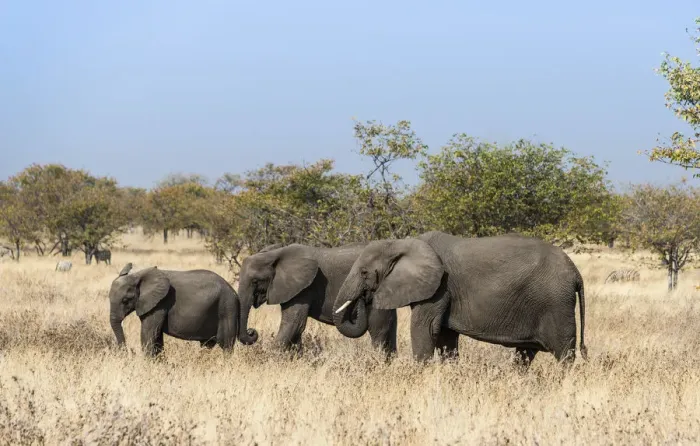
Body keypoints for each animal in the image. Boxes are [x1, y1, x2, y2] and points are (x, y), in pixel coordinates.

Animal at [109, 262, 246, 357]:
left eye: (125, 300)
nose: (128, 353)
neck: (137, 275)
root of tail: (235, 294)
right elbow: (156, 336)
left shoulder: (160, 303)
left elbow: (149, 333)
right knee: (207, 344)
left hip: (227, 308)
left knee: (226, 345)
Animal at [237, 242, 398, 355]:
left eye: (255, 281)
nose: (252, 332)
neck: (275, 254)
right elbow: (296, 329)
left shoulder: (305, 288)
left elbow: (293, 323)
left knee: (378, 329)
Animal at [333, 231, 587, 365]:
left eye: (364, 272)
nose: (364, 296)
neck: (401, 242)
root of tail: (576, 272)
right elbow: (445, 337)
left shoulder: (438, 288)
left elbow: (424, 329)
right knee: (525, 354)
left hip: (556, 304)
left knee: (564, 353)